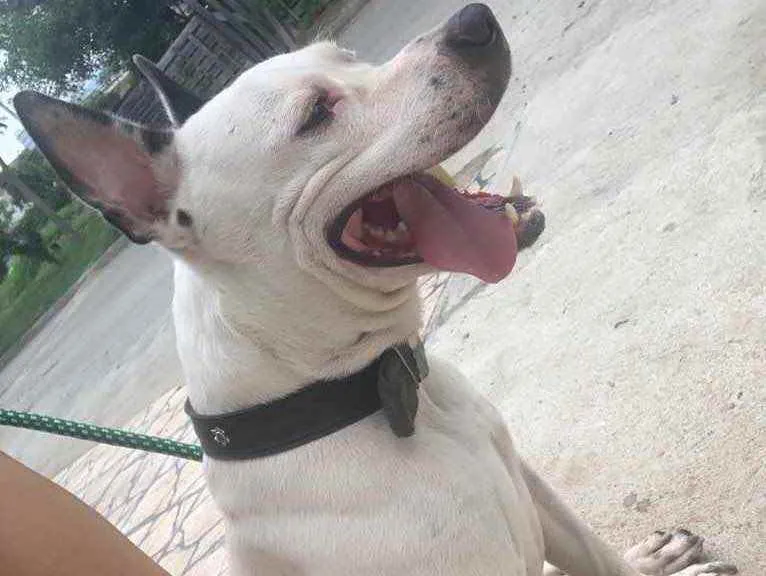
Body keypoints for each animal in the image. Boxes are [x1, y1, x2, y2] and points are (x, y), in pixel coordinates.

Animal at [15, 4, 736, 575]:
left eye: (346, 57)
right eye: (316, 114)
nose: (473, 20)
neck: (368, 391)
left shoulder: (535, 491)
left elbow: (597, 555)